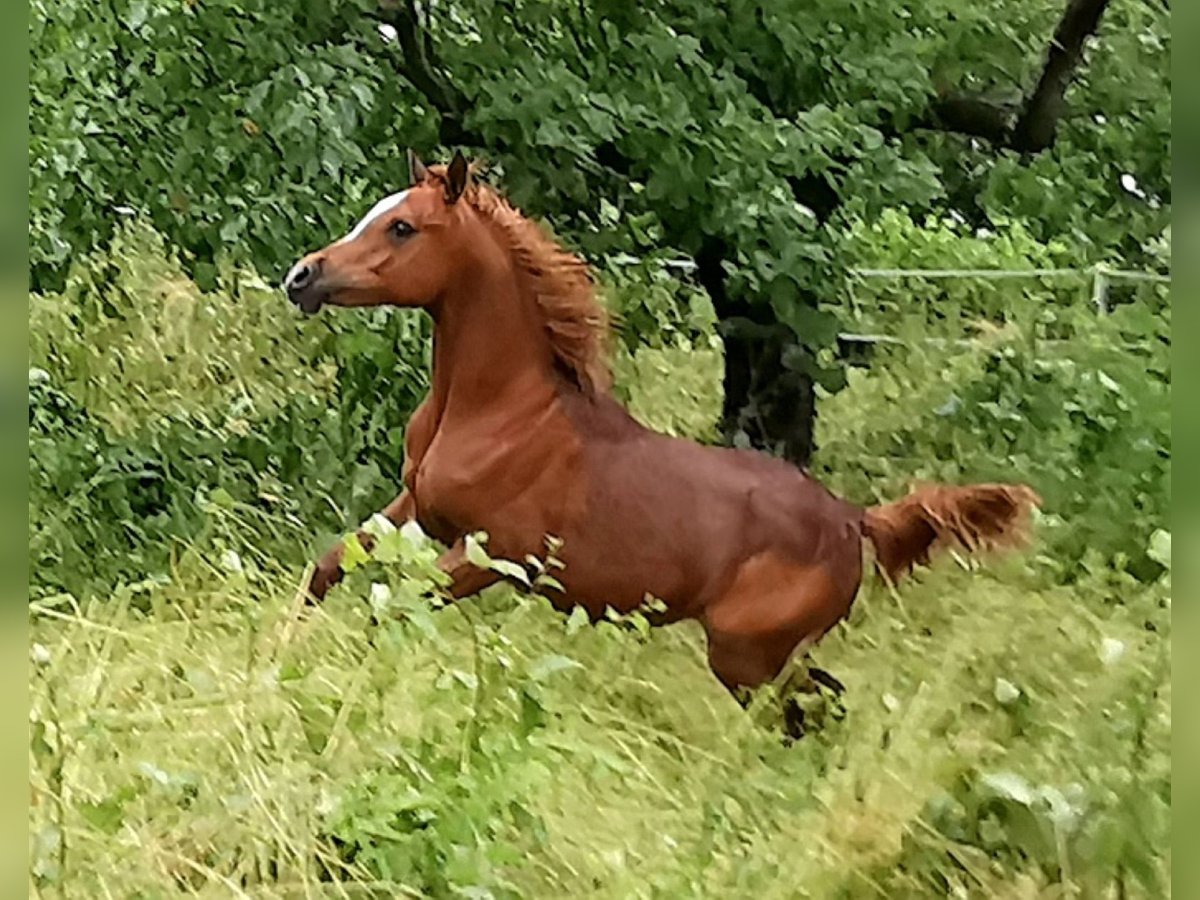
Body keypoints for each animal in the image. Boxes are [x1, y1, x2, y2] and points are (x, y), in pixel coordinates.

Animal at [283, 151, 1041, 696]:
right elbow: (329, 567)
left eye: (402, 227)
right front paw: (284, 655)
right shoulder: (414, 509)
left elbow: (392, 604)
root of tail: (856, 520)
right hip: (762, 659)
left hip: (747, 656)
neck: (499, 412)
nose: (301, 277)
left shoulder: (494, 556)